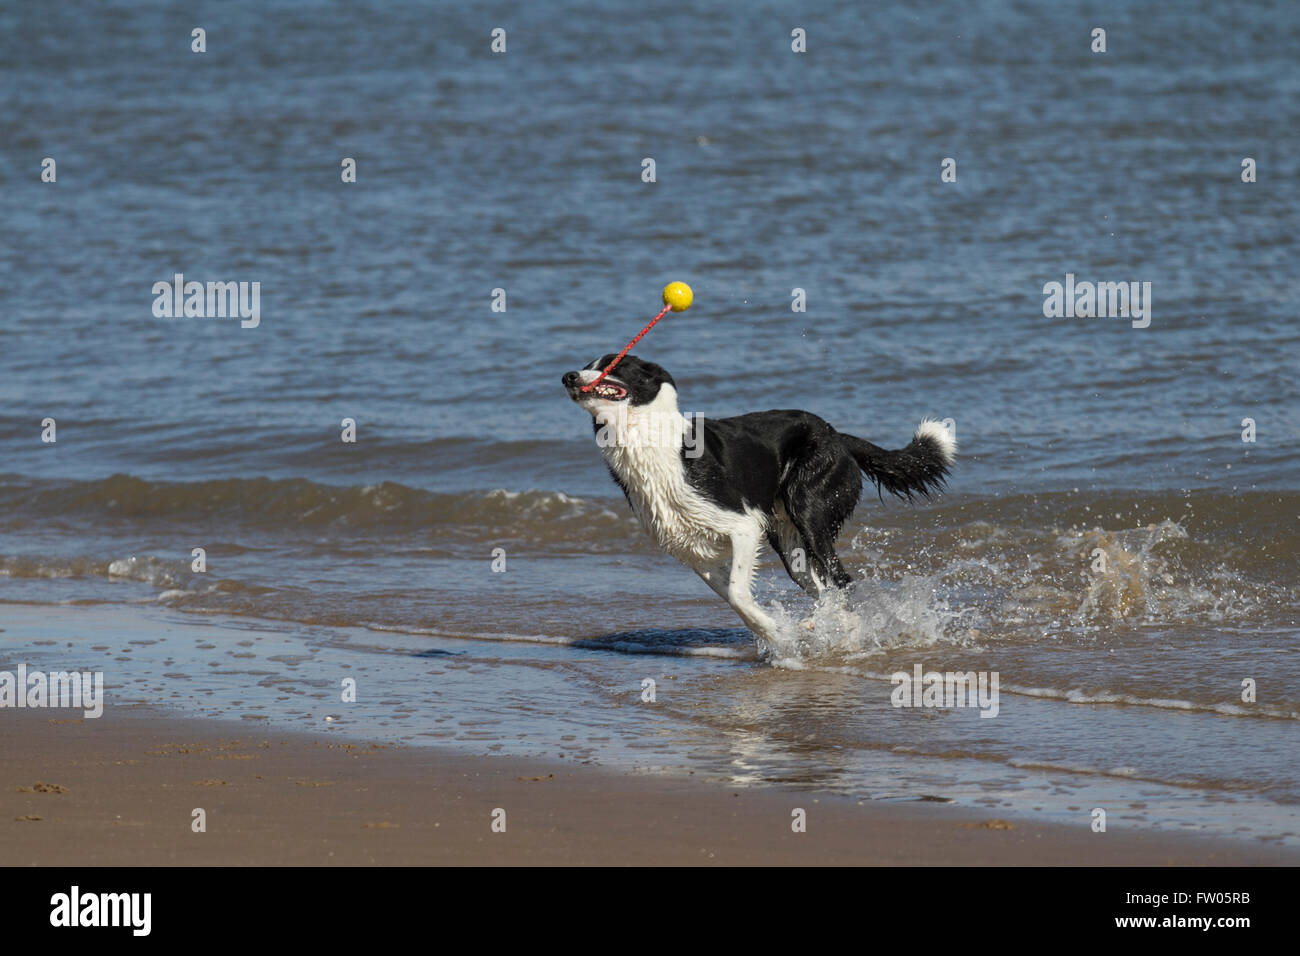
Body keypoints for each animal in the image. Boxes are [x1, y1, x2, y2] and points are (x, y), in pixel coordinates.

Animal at [561, 356, 956, 647]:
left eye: (612, 364)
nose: (568, 376)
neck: (649, 440)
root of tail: (837, 435)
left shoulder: (743, 525)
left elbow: (737, 592)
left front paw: (781, 637)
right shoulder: (693, 553)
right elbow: (736, 599)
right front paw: (779, 635)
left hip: (809, 512)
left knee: (840, 579)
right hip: (791, 546)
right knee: (824, 586)